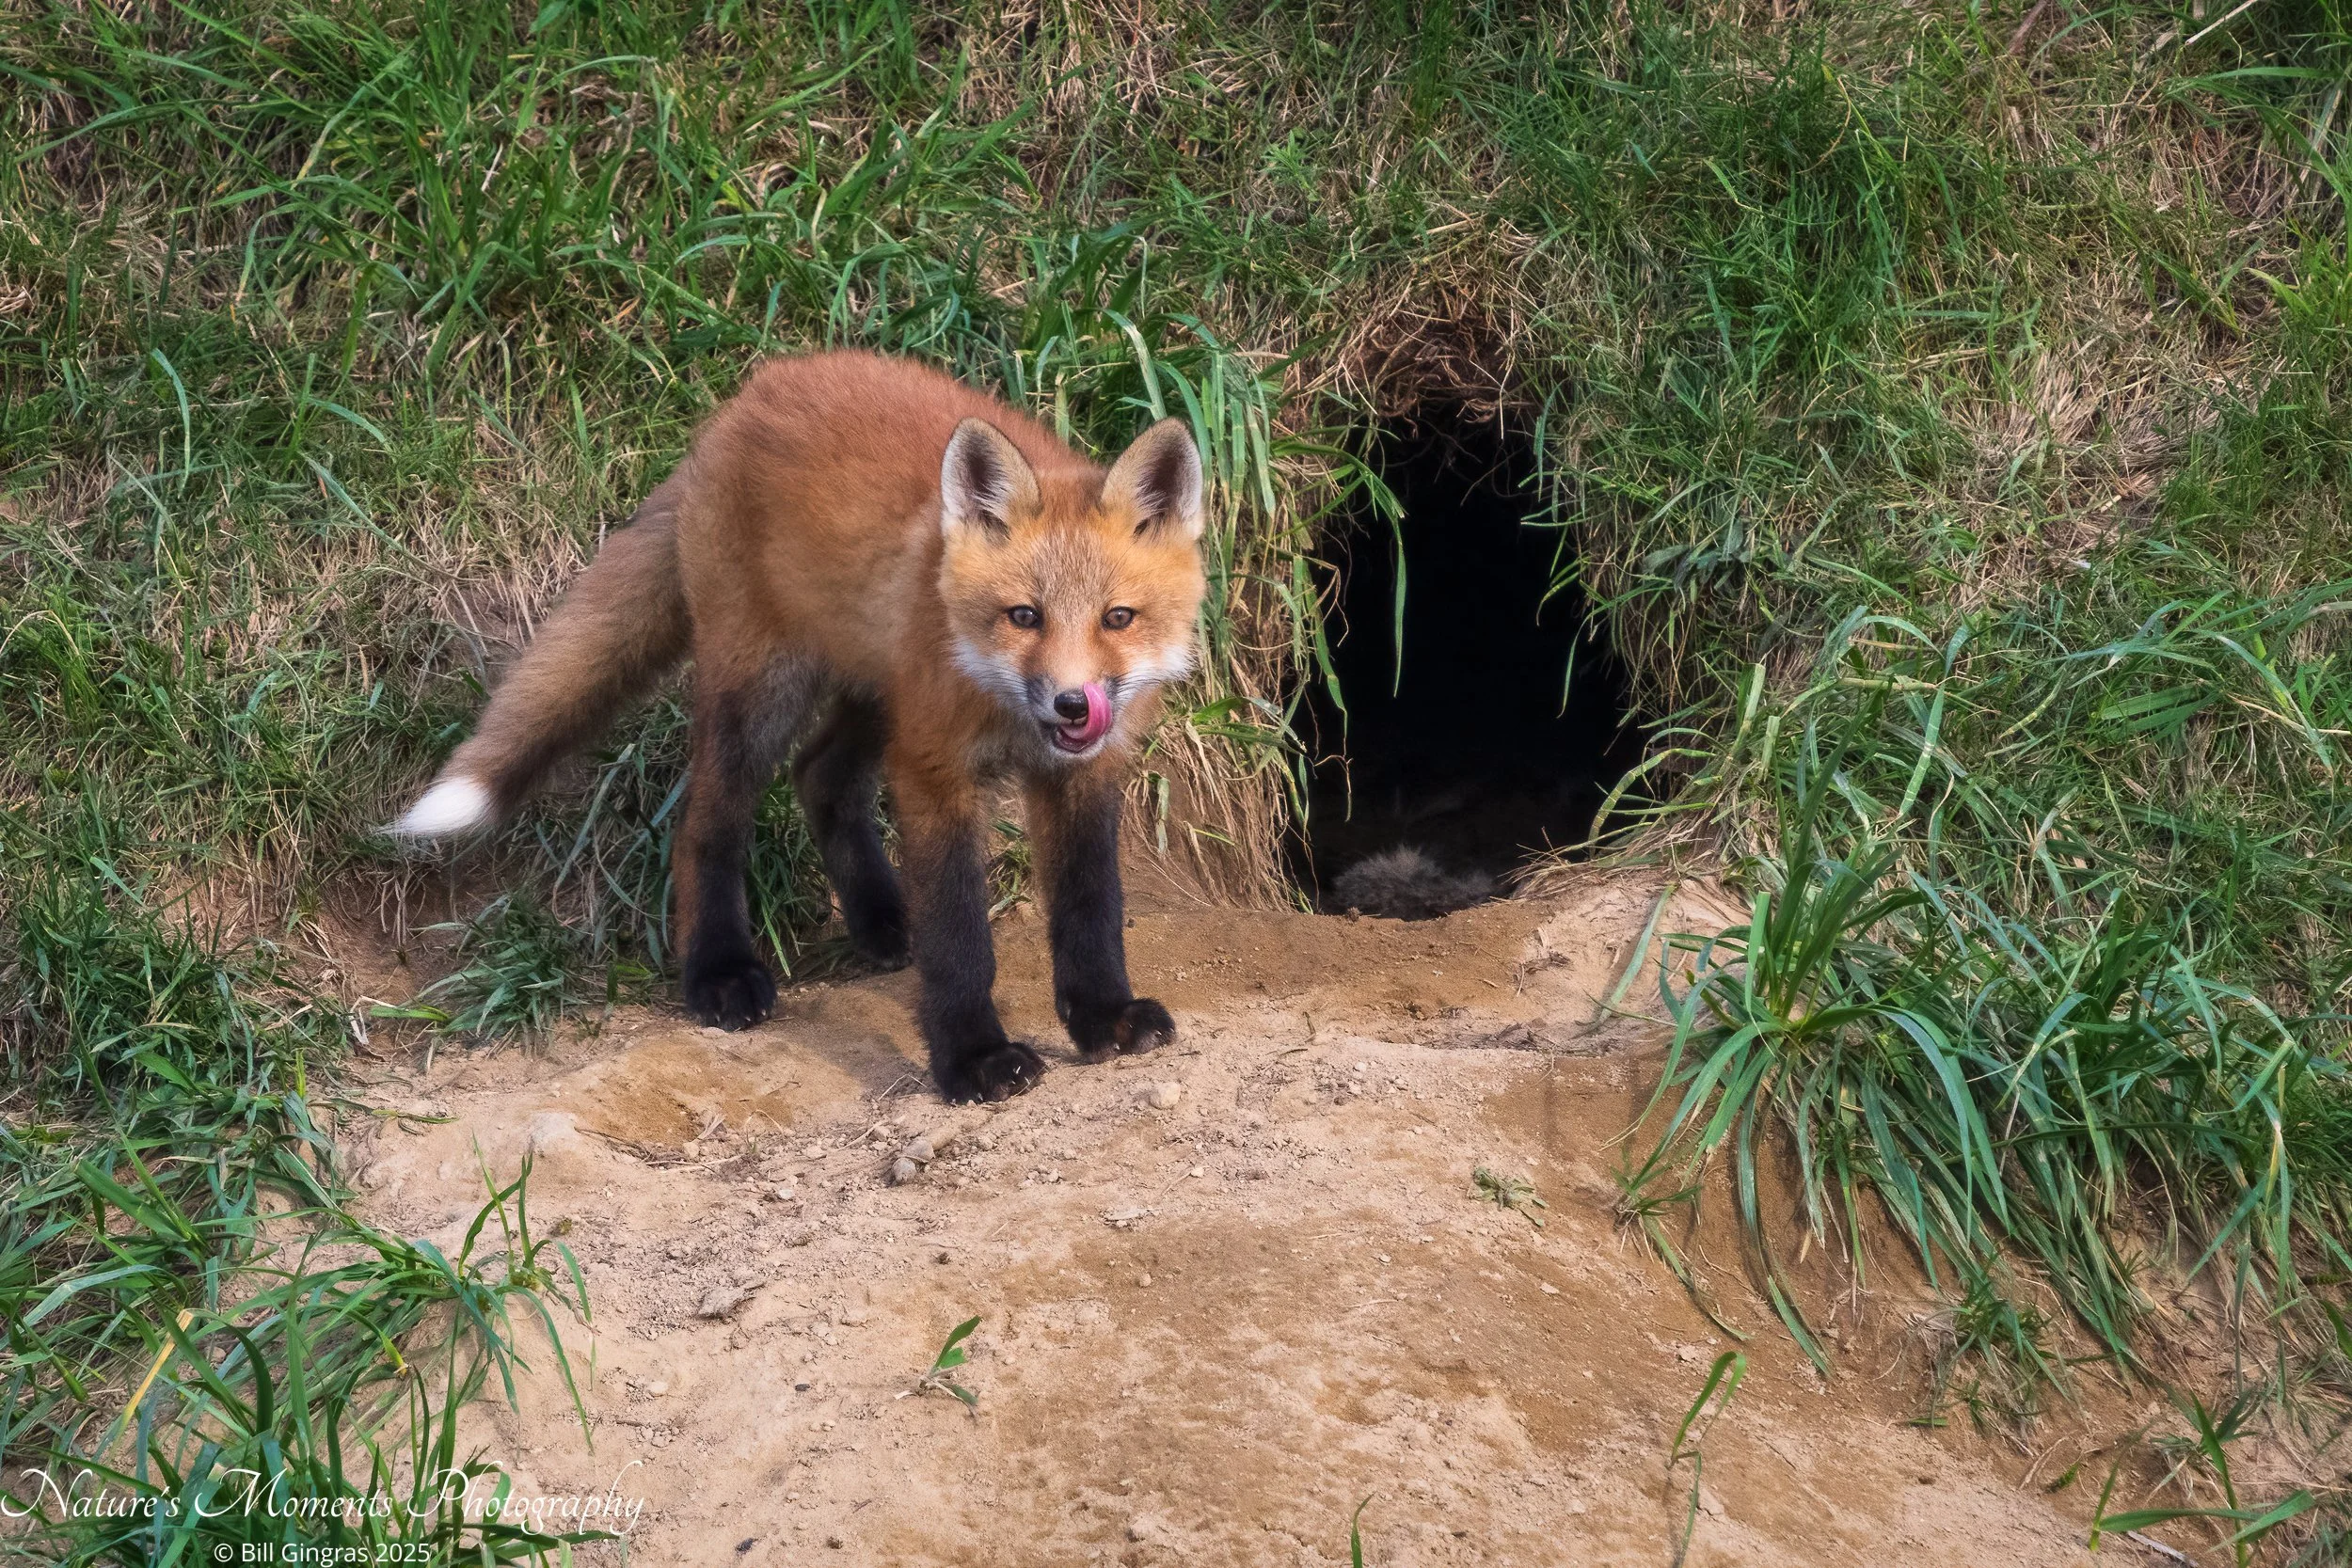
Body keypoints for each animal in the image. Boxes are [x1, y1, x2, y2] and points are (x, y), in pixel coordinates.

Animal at [389, 350, 1208, 1103]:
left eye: (1118, 618)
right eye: (1024, 616)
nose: (1073, 704)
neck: (1009, 715)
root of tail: (755, 388)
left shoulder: (1083, 775)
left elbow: (1091, 905)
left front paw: (1104, 1016)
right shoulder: (934, 770)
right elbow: (959, 935)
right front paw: (973, 1058)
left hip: (875, 692)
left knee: (819, 775)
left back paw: (882, 919)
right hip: (762, 693)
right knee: (705, 823)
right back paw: (719, 971)